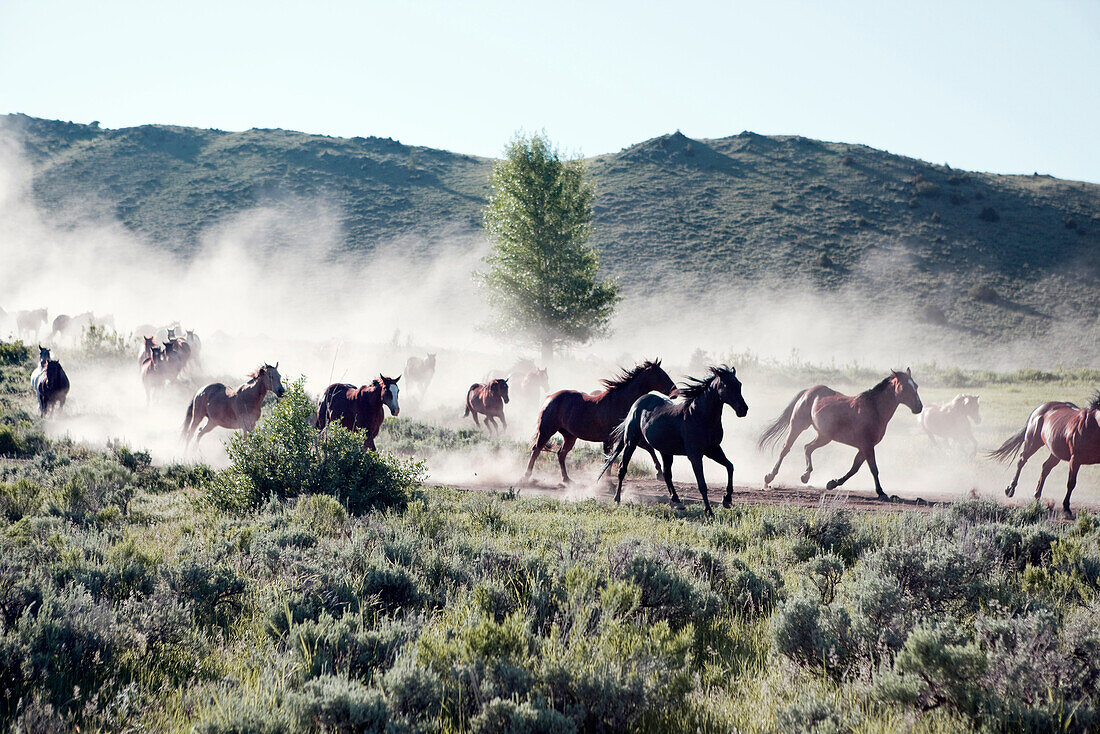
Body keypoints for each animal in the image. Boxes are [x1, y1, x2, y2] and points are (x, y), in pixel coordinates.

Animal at [519, 358, 673, 484]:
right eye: (661, 375)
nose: (674, 391)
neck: (619, 401)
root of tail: (549, 398)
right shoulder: (611, 438)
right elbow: (609, 458)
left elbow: (648, 448)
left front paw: (659, 473)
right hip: (546, 431)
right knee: (536, 450)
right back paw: (526, 477)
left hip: (570, 436)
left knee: (561, 454)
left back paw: (567, 479)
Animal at [598, 367, 752, 517]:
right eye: (726, 385)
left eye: (739, 384)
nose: (743, 409)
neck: (699, 416)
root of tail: (637, 404)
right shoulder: (695, 456)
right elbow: (702, 484)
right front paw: (709, 511)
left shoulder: (713, 449)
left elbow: (730, 467)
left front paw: (727, 500)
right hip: (631, 443)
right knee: (622, 469)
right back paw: (617, 499)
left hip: (665, 451)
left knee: (667, 474)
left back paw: (677, 502)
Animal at [756, 367, 919, 499]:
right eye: (904, 387)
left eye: (916, 386)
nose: (919, 407)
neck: (873, 409)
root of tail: (809, 391)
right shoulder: (867, 446)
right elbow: (873, 469)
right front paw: (881, 492)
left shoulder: (864, 447)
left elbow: (854, 469)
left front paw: (832, 483)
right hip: (798, 425)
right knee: (786, 448)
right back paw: (769, 477)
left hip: (824, 436)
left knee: (807, 447)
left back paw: (805, 475)